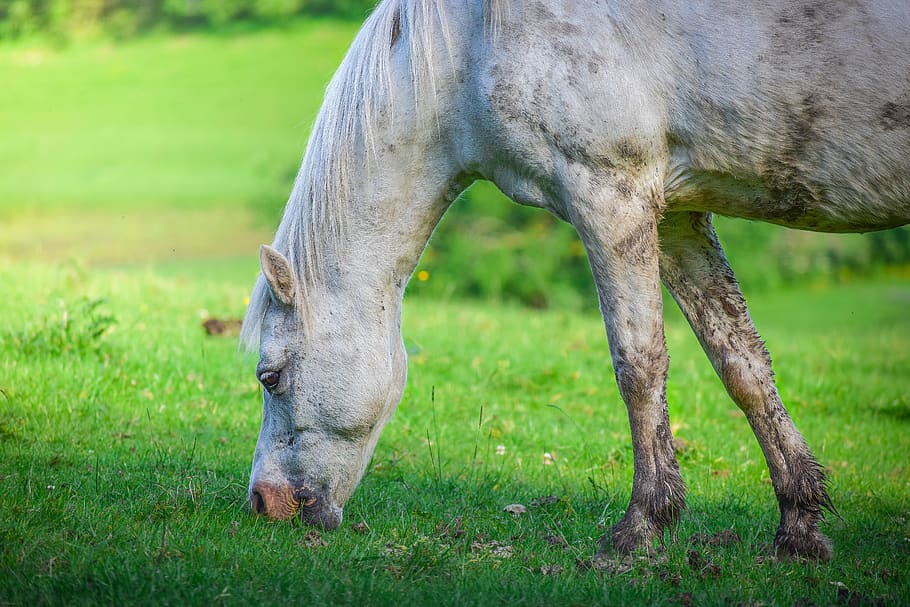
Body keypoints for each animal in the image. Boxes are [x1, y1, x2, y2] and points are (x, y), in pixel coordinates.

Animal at [240, 0, 910, 560]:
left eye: (270, 376)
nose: (263, 504)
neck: (473, 39)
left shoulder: (611, 197)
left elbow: (639, 365)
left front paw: (642, 527)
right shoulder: (677, 216)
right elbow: (741, 363)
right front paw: (799, 527)